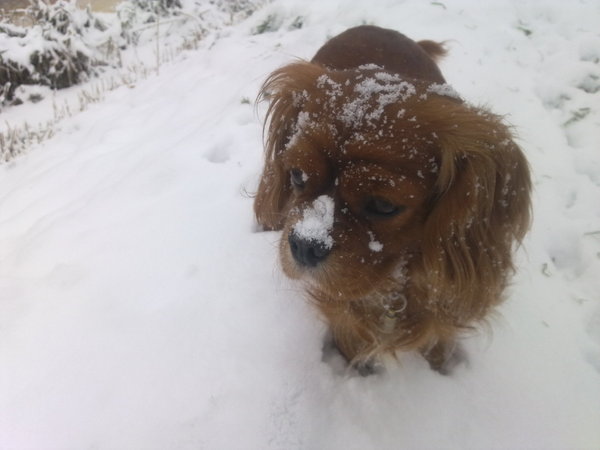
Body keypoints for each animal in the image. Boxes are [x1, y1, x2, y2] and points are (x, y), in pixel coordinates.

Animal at [253, 26, 528, 374]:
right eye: (297, 176)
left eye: (384, 205)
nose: (304, 245)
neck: (395, 280)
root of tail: (370, 26)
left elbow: (437, 338)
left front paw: (440, 370)